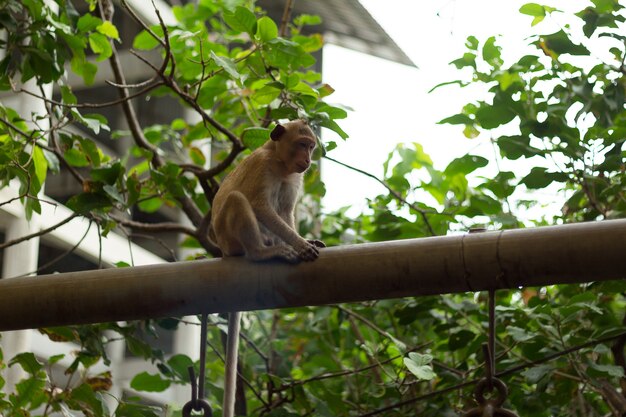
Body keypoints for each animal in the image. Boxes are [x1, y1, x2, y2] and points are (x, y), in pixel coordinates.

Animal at [210, 118, 324, 414]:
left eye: (311, 146)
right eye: (301, 144)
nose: (308, 159)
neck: (280, 163)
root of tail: (224, 250)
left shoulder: (295, 178)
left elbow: (285, 212)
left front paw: (304, 239)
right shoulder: (262, 167)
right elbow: (260, 206)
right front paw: (301, 244)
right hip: (230, 237)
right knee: (238, 200)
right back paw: (261, 253)